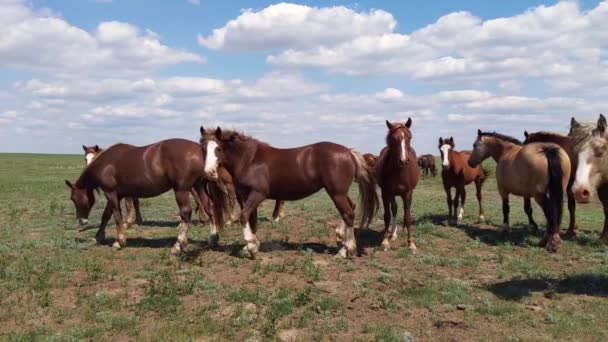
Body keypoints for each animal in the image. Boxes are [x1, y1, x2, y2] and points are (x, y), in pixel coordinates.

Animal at [66, 139, 227, 254]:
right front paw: (98, 236)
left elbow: (116, 215)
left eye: (73, 199)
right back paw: (213, 238)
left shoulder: (110, 192)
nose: (81, 221)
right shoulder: (118, 194)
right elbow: (106, 215)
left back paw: (178, 245)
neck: (106, 163)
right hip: (198, 187)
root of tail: (199, 149)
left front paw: (120, 241)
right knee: (209, 207)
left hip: (182, 190)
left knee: (186, 213)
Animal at [202, 126, 378, 260]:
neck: (249, 159)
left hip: (336, 193)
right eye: (203, 149)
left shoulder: (258, 194)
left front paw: (251, 246)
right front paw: (250, 246)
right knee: (350, 208)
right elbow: (252, 221)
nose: (209, 173)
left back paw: (347, 250)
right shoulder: (244, 196)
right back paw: (341, 238)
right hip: (338, 192)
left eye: (218, 148)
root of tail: (349, 152)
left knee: (348, 213)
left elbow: (244, 216)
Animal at [376, 120, 418, 251]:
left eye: (409, 137)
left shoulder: (408, 194)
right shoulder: (386, 193)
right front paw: (385, 241)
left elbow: (407, 217)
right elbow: (387, 216)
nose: (403, 161)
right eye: (393, 139)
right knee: (394, 209)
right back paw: (393, 234)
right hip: (392, 194)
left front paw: (411, 243)